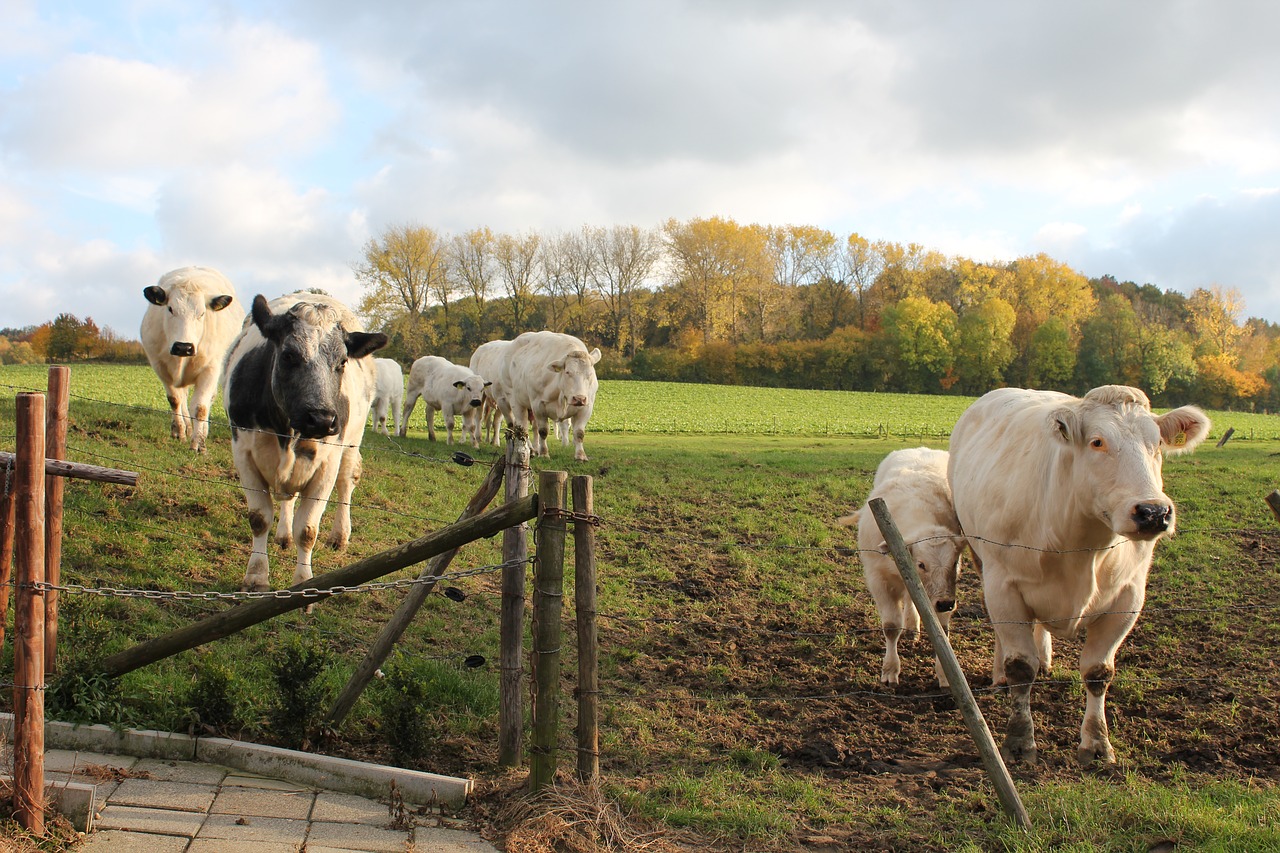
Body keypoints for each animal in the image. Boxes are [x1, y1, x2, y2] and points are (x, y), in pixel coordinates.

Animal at [138, 266, 243, 450]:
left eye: (202, 313)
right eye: (170, 309)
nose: (183, 347)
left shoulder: (211, 369)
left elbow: (201, 407)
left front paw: (199, 443)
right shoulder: (160, 366)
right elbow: (175, 400)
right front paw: (179, 431)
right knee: (183, 399)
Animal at [222, 292, 386, 591]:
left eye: (342, 362)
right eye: (289, 355)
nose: (321, 419)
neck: (286, 431)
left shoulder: (326, 464)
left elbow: (308, 529)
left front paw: (303, 582)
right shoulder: (243, 452)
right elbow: (259, 518)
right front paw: (256, 576)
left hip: (352, 441)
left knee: (346, 482)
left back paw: (339, 535)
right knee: (288, 496)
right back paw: (283, 535)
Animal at [499, 327, 599, 458]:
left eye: (590, 373)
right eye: (568, 372)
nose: (579, 398)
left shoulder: (586, 407)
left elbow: (579, 432)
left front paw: (581, 455)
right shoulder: (538, 405)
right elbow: (543, 431)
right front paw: (544, 453)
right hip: (515, 401)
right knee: (522, 427)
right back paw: (529, 450)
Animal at [839, 445, 962, 686]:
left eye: (954, 562)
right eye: (921, 564)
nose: (945, 603)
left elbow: (942, 629)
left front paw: (944, 674)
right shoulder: (878, 579)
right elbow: (891, 626)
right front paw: (890, 670)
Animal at [952, 384, 1208, 763]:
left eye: (1157, 443)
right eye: (1097, 442)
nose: (1153, 512)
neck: (1082, 544)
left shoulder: (1129, 597)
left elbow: (1098, 671)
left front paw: (1097, 744)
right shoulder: (1003, 586)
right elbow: (1020, 666)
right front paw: (1019, 742)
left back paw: (1045, 658)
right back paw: (1000, 674)